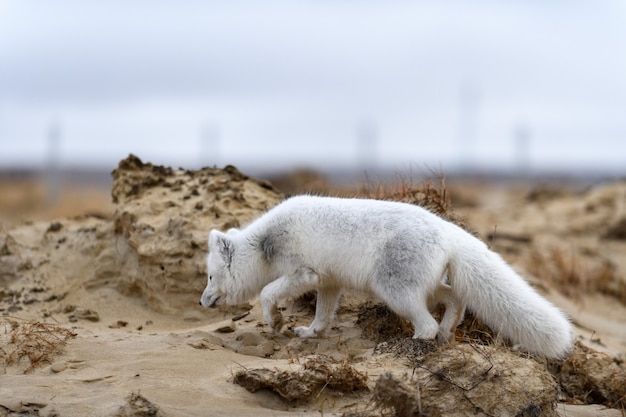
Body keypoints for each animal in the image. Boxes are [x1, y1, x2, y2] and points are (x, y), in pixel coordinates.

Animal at [199, 195, 572, 358]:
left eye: (210, 277)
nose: (201, 302)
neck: (265, 242)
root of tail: (449, 230)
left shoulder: (304, 272)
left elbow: (267, 292)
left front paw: (274, 321)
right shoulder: (329, 282)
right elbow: (324, 312)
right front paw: (310, 332)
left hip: (394, 290)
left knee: (426, 323)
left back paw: (410, 343)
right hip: (423, 286)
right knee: (454, 299)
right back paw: (447, 332)